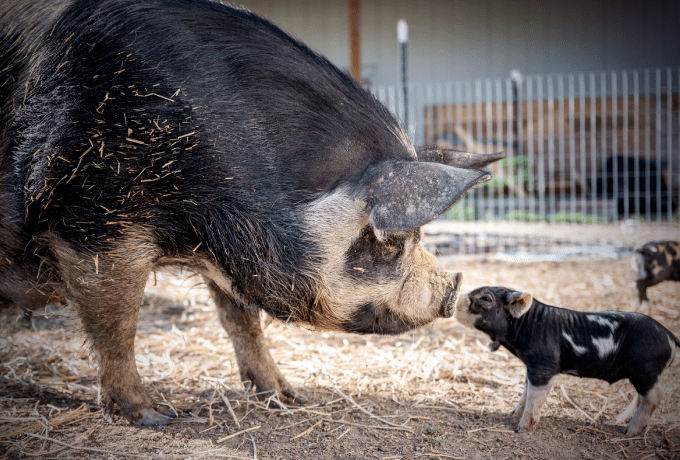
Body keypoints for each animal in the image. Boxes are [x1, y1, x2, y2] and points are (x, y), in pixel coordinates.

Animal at [1, 0, 504, 426]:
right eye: (392, 240)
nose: (453, 290)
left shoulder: (233, 251)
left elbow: (242, 322)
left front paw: (287, 396)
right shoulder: (90, 216)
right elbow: (116, 324)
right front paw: (156, 416)